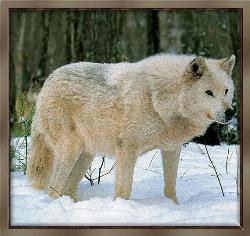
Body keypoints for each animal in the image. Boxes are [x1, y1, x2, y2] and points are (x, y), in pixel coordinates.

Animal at [26, 53, 235, 203]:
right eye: (209, 93)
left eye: (226, 91)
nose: (231, 112)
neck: (159, 99)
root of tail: (48, 80)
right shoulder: (127, 148)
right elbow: (124, 189)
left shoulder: (171, 149)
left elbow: (170, 187)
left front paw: (174, 206)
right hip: (71, 150)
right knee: (53, 189)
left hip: (86, 155)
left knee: (67, 189)